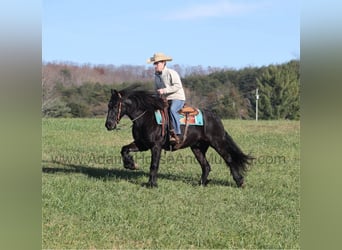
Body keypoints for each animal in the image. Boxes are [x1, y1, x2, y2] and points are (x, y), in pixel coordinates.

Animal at [105, 85, 254, 188]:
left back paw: (240, 182)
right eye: (108, 105)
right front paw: (131, 165)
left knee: (229, 159)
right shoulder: (142, 144)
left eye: (115, 105)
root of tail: (215, 117)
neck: (146, 117)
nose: (108, 125)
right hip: (197, 148)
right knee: (206, 166)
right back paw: (201, 184)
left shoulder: (156, 146)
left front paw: (152, 184)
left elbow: (154, 165)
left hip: (217, 143)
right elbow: (124, 149)